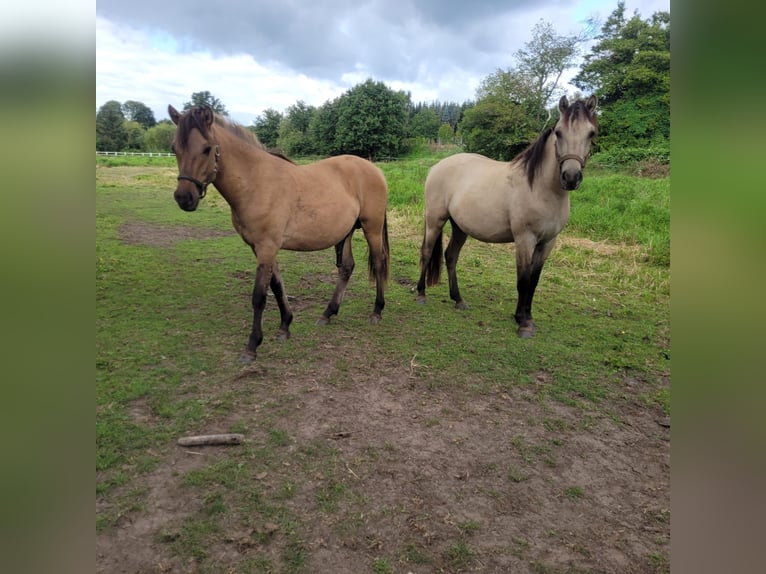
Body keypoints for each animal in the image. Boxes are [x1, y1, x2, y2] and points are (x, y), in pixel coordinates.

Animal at [168, 104, 390, 360]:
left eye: (206, 149)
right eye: (175, 148)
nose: (184, 198)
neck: (255, 182)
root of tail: (375, 169)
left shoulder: (267, 247)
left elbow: (259, 296)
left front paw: (252, 345)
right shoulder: (260, 247)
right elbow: (276, 285)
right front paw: (285, 326)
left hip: (372, 228)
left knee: (379, 263)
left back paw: (377, 311)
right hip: (346, 233)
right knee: (346, 268)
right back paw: (328, 313)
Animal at [416, 95, 598, 338]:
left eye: (591, 133)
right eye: (559, 132)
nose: (570, 177)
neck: (540, 188)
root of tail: (437, 166)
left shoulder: (547, 242)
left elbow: (534, 282)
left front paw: (528, 317)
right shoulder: (524, 240)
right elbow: (523, 281)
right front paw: (522, 322)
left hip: (460, 227)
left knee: (451, 256)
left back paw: (458, 299)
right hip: (435, 220)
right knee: (427, 252)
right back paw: (421, 294)